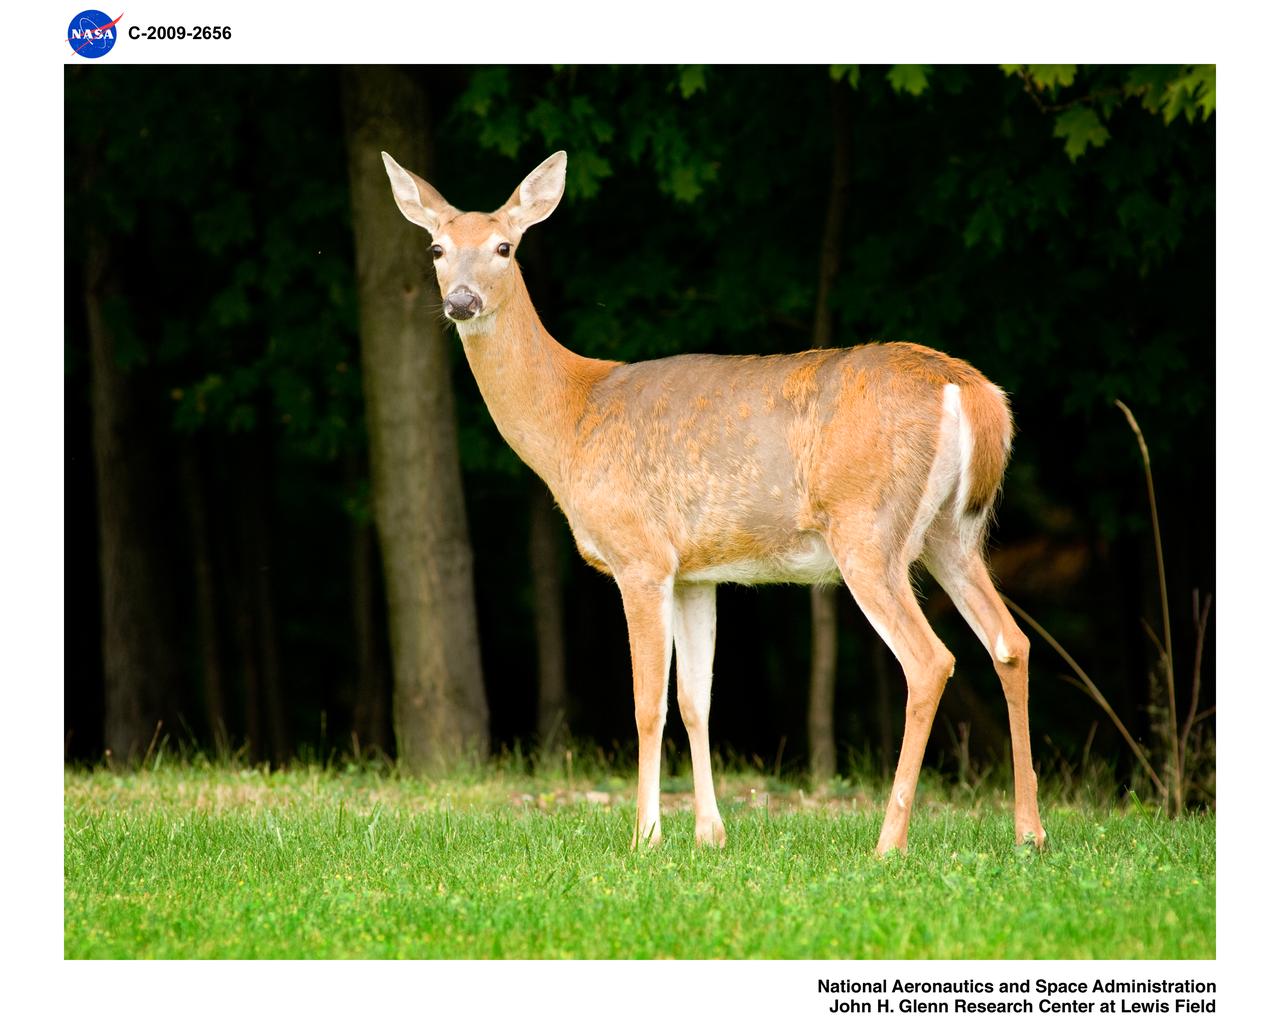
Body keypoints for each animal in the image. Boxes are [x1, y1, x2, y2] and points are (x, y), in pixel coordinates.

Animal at [380, 149, 1046, 855]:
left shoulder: (641, 555)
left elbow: (647, 703)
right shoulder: (697, 572)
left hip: (869, 528)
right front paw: (710, 833)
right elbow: (696, 701)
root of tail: (971, 391)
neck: (571, 420)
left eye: (504, 247)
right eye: (437, 247)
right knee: (1010, 642)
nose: (462, 300)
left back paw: (888, 841)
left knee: (929, 660)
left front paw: (646, 836)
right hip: (954, 533)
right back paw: (1029, 832)